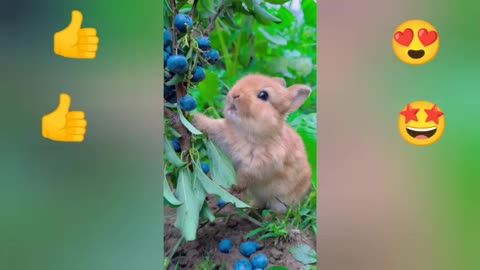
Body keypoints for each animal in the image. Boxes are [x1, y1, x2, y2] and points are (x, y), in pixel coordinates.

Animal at [193, 74, 314, 213]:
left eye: (263, 95)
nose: (234, 95)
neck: (246, 133)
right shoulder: (223, 136)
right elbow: (210, 126)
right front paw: (193, 118)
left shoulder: (261, 165)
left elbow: (246, 175)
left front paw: (234, 186)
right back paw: (250, 209)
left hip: (281, 203)